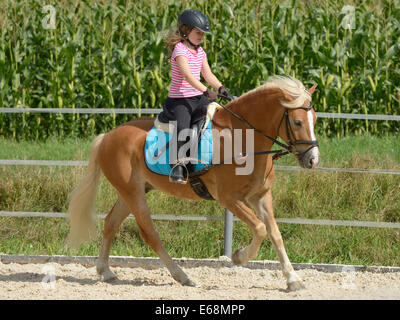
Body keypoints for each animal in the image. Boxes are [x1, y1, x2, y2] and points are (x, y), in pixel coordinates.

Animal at [67, 75, 320, 292]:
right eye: (298, 122)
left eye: (315, 119)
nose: (313, 160)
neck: (243, 137)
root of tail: (108, 136)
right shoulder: (230, 198)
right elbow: (260, 228)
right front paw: (238, 256)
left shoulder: (261, 195)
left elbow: (275, 233)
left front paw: (293, 279)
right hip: (133, 193)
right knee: (149, 233)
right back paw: (183, 276)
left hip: (130, 191)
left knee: (111, 223)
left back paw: (106, 271)